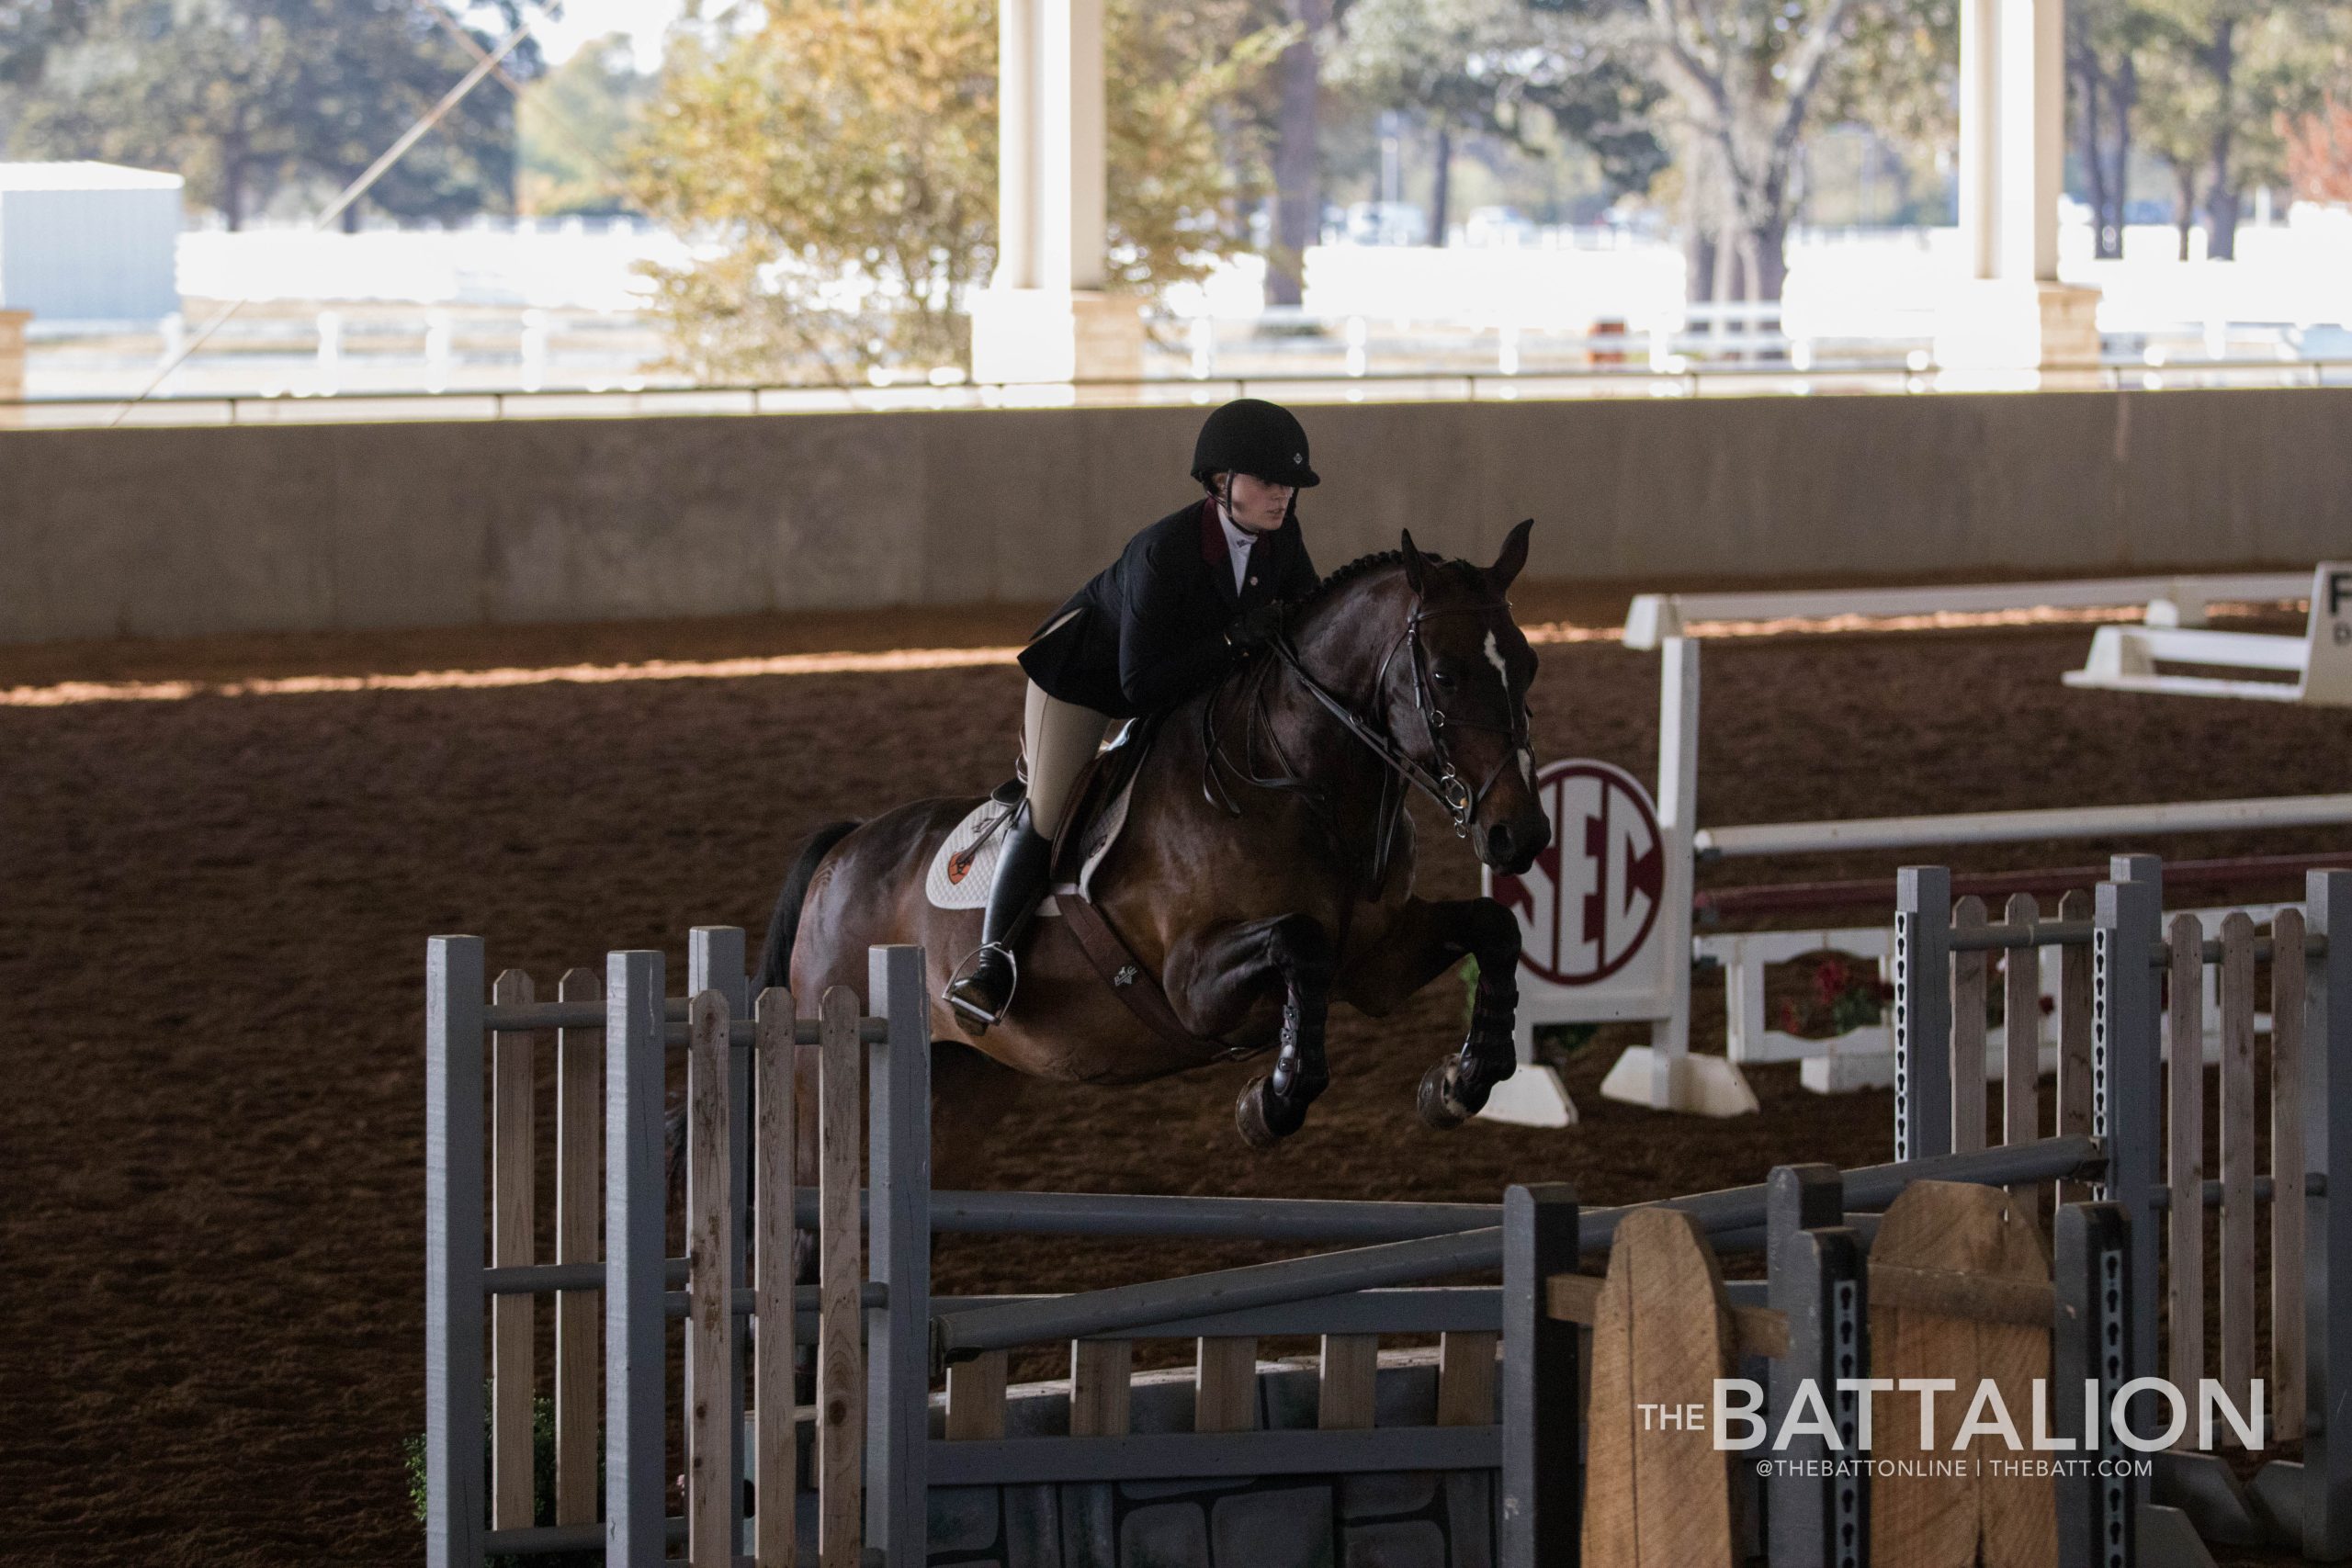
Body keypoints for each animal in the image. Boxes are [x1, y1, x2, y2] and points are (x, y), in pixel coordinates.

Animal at [762, 522, 1552, 1161]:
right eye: (1445, 674)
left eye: (1529, 665)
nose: (1521, 833)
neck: (1303, 786)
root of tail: (844, 849)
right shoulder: (1191, 985)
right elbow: (1300, 943)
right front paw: (1268, 1103)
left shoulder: (1377, 962)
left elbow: (1494, 925)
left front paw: (1458, 1083)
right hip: (825, 1070)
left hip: (962, 1085)